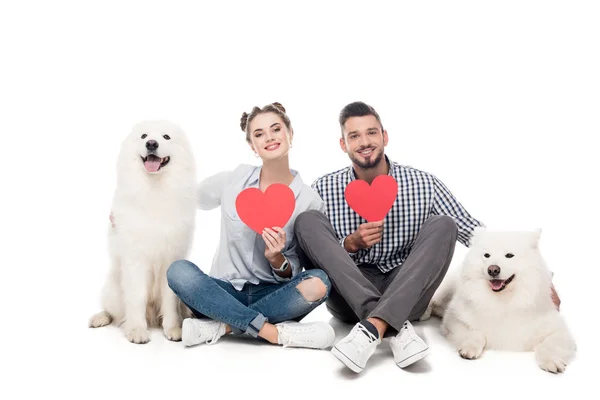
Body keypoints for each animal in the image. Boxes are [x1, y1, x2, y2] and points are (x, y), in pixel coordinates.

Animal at [89, 119, 197, 344]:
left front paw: (173, 329)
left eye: (166, 137)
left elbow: (170, 301)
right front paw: (137, 330)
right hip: (113, 288)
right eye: (144, 136)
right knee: (113, 311)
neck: (154, 188)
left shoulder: (170, 260)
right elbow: (136, 298)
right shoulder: (135, 261)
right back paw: (100, 318)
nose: (152, 144)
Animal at [422, 227, 576, 374]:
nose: (493, 269)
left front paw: (551, 361)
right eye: (487, 255)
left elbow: (547, 346)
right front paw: (469, 348)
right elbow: (476, 333)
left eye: (509, 255)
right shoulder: (454, 320)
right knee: (434, 301)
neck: (503, 301)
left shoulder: (559, 331)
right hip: (445, 290)